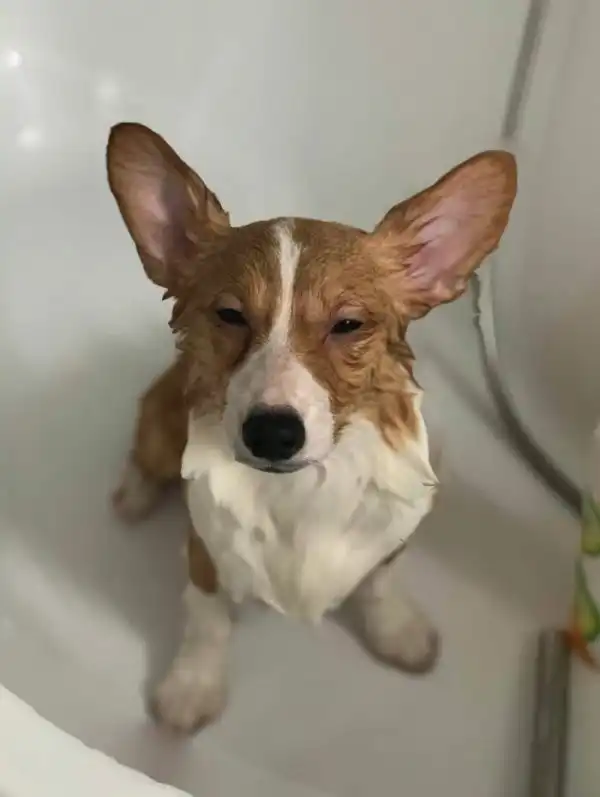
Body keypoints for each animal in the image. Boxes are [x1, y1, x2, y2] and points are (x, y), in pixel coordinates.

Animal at [106, 123, 516, 733]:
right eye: (229, 316)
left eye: (348, 325)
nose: (273, 434)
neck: (299, 494)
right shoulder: (206, 552)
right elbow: (207, 620)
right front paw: (193, 686)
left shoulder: (393, 532)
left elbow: (379, 582)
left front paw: (398, 632)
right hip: (161, 423)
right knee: (145, 457)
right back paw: (132, 496)